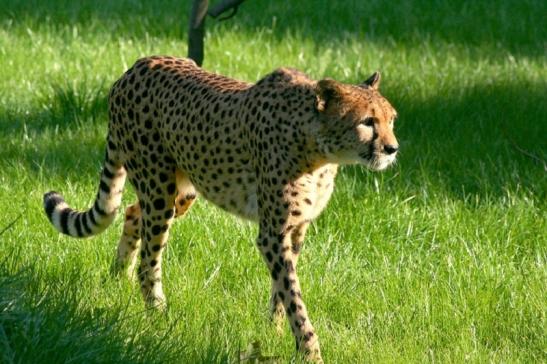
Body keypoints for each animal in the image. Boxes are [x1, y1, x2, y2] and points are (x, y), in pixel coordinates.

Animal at [42, 56, 398, 362]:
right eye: (367, 122)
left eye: (391, 119)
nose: (392, 148)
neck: (318, 149)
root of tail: (136, 66)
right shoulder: (272, 234)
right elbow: (293, 293)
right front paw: (310, 351)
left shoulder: (295, 229)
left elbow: (281, 291)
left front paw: (273, 331)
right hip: (158, 190)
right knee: (149, 260)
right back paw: (157, 315)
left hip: (181, 191)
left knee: (131, 213)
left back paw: (118, 277)